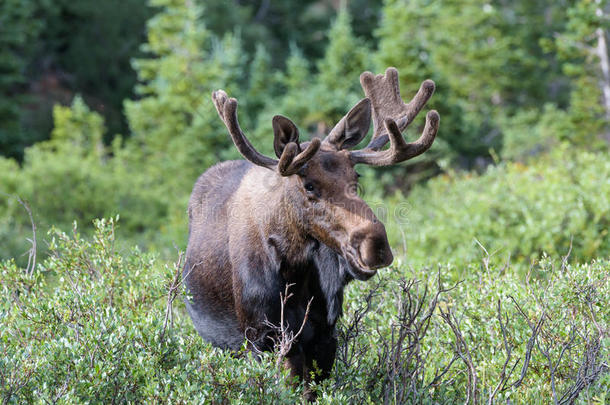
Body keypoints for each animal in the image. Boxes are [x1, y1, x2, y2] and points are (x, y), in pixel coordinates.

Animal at [180, 67, 436, 392]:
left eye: (356, 176)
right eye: (309, 185)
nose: (376, 244)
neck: (295, 271)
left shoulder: (325, 335)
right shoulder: (261, 337)